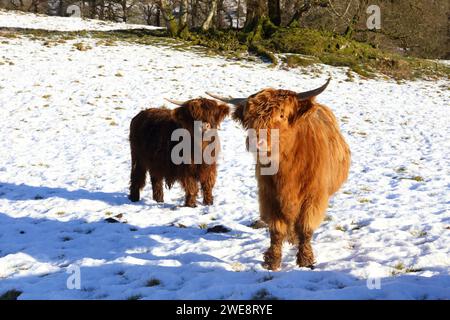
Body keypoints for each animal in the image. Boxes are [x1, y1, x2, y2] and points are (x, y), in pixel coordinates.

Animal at [207, 78, 352, 270]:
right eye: (250, 118)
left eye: (282, 115)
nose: (257, 143)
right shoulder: (269, 195)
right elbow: (276, 230)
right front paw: (272, 261)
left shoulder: (314, 197)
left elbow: (305, 227)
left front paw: (305, 260)